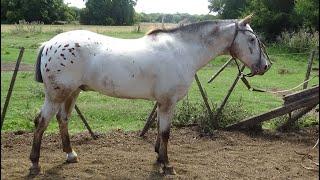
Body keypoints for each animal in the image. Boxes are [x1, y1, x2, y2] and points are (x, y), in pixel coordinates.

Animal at [29, 14, 270, 175]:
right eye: (252, 40)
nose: (265, 66)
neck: (183, 51)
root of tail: (49, 43)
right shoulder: (168, 102)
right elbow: (165, 133)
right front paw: (167, 165)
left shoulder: (162, 102)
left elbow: (159, 130)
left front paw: (159, 157)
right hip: (56, 94)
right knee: (41, 122)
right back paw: (34, 164)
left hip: (73, 92)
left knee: (62, 119)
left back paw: (70, 155)